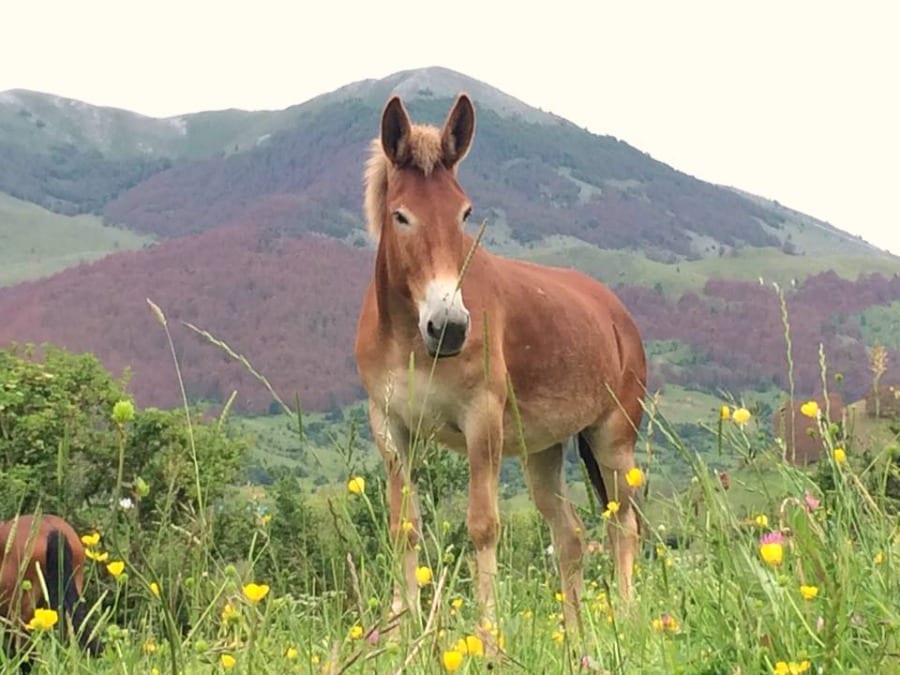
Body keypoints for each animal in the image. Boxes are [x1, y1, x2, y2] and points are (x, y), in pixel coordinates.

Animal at [354, 91, 648, 632]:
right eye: (401, 215)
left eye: (465, 214)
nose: (449, 327)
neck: (410, 343)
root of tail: (616, 313)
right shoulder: (390, 426)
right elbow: (404, 527)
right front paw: (401, 633)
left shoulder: (481, 422)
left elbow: (483, 526)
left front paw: (488, 638)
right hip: (543, 451)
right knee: (571, 537)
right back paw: (576, 638)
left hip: (612, 441)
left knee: (623, 525)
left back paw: (628, 620)